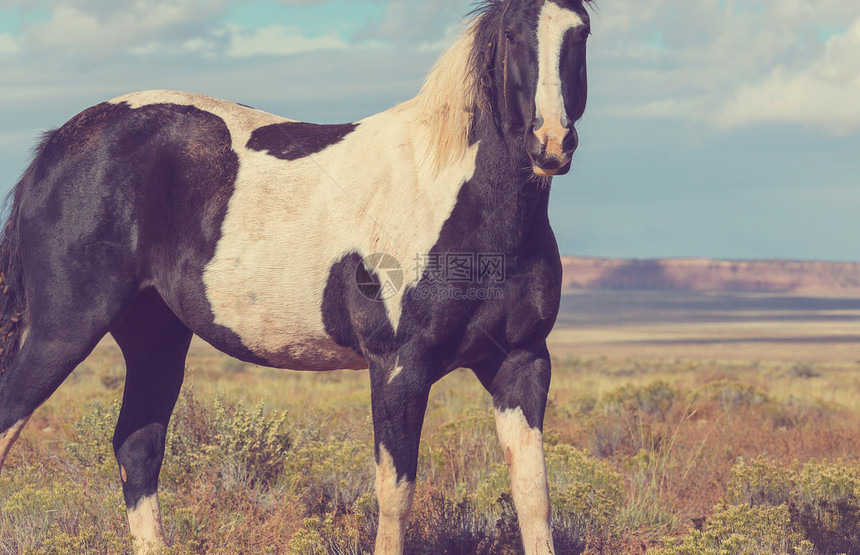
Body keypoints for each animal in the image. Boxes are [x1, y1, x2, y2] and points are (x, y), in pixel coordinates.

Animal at [0, 0, 592, 552]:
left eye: (580, 32)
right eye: (512, 34)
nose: (551, 142)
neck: (453, 197)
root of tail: (56, 148)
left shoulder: (520, 362)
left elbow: (533, 494)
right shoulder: (400, 366)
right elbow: (395, 494)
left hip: (156, 339)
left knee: (137, 447)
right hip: (62, 333)